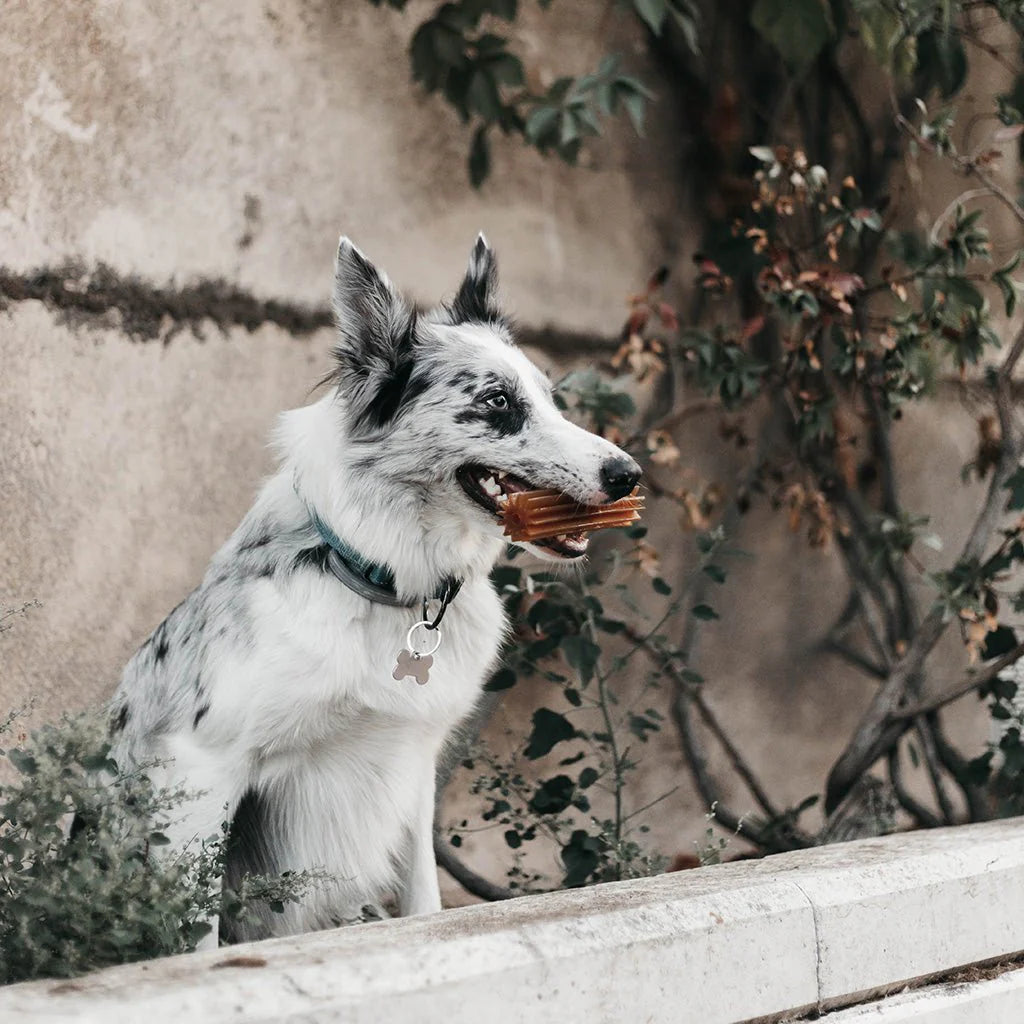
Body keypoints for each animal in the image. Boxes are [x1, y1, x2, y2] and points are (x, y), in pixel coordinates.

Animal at [112, 235, 638, 937]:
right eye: (498, 401)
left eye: (551, 398)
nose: (629, 474)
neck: (380, 581)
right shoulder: (204, 765)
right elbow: (201, 940)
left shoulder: (412, 763)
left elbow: (423, 896)